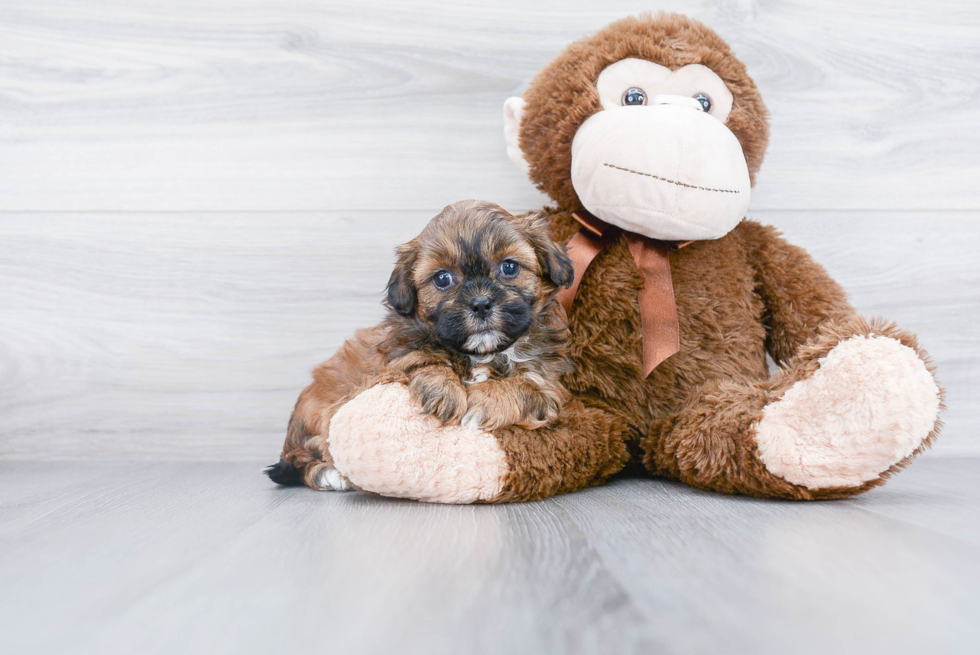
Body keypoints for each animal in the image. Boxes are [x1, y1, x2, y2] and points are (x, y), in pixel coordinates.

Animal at [264, 200, 580, 492]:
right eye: (442, 278)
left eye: (510, 267)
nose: (480, 303)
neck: (482, 354)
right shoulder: (394, 356)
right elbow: (421, 357)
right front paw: (443, 391)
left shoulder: (547, 386)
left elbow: (524, 386)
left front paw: (483, 401)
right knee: (304, 458)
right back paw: (330, 475)